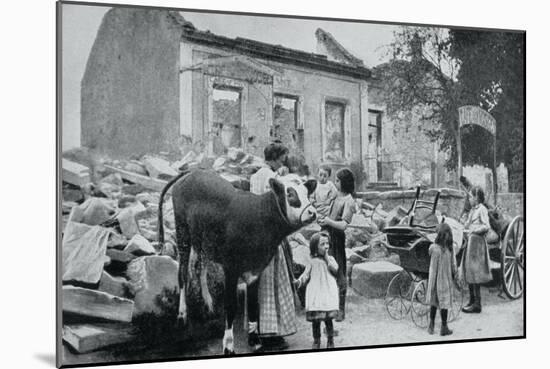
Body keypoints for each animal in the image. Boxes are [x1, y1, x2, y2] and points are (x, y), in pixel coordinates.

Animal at [157, 167, 316, 354]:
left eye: (308, 193)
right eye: (290, 194)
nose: (312, 212)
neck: (259, 218)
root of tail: (191, 172)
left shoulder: (256, 269)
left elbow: (254, 305)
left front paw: (255, 340)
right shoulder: (231, 269)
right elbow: (231, 306)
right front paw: (228, 345)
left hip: (204, 242)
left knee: (199, 267)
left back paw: (208, 305)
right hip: (182, 232)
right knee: (182, 273)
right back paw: (182, 316)